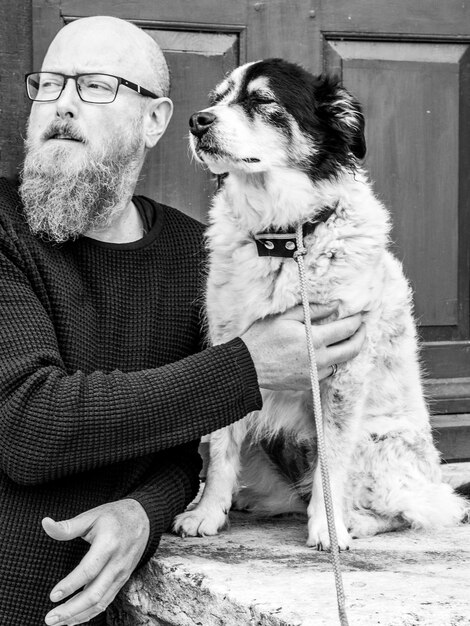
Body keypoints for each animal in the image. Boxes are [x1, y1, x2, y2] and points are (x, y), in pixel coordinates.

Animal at [174, 58, 468, 544]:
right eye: (216, 99)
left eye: (261, 100)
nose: (197, 121)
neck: (285, 239)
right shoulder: (231, 350)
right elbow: (219, 448)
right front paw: (207, 512)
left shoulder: (344, 372)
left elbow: (332, 460)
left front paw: (329, 528)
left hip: (379, 443)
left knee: (422, 508)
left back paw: (355, 521)